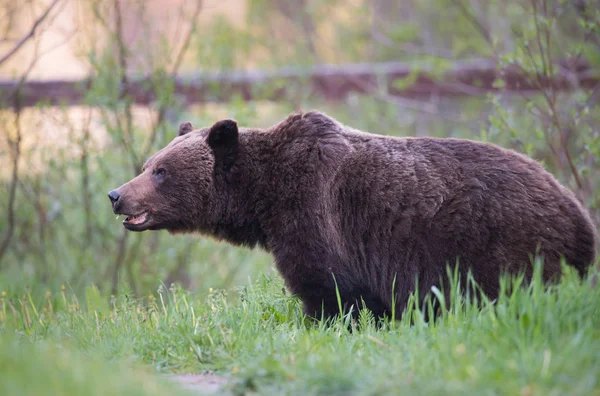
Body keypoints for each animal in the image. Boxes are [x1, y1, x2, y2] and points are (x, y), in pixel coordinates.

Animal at [110, 110, 596, 318]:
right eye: (148, 164)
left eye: (161, 171)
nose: (116, 194)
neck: (264, 198)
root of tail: (580, 214)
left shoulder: (315, 214)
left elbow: (330, 289)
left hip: (507, 244)